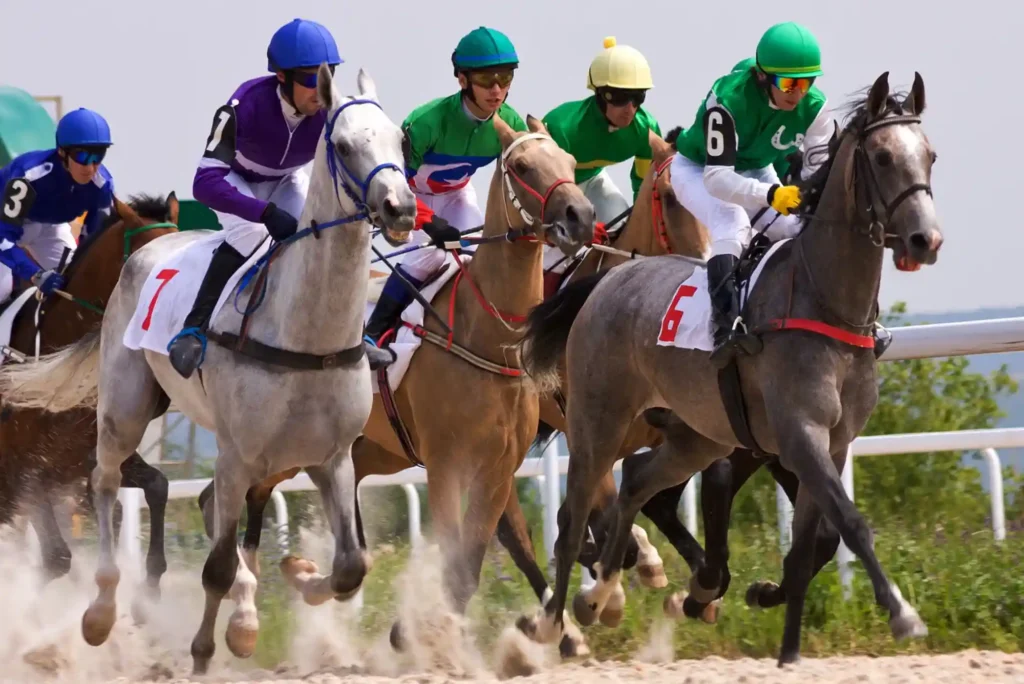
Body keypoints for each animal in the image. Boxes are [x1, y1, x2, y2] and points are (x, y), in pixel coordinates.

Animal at [517, 72, 942, 665]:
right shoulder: (799, 434)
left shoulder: (827, 444)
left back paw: (601, 594)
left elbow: (813, 543)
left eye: (929, 155)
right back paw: (556, 623)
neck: (825, 303)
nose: (926, 240)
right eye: (881, 157)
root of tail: (608, 279)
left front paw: (784, 643)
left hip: (697, 436)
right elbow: (852, 524)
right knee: (573, 518)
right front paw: (902, 613)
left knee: (637, 484)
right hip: (597, 424)